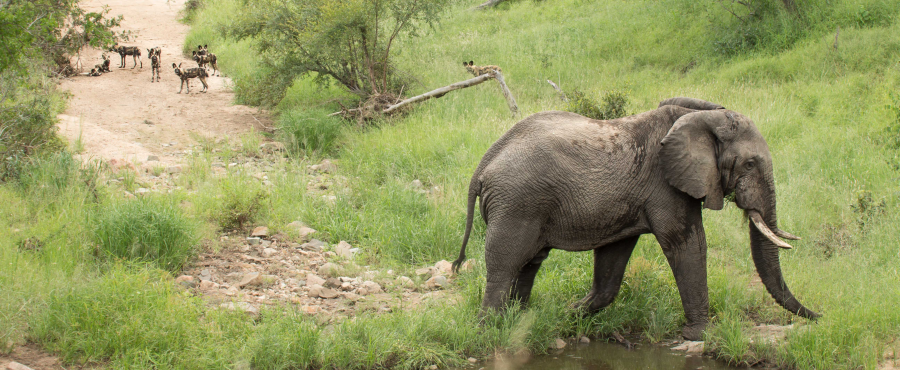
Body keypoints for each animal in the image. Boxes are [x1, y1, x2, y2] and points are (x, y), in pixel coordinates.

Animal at [454, 97, 820, 340]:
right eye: (750, 164)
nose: (820, 316)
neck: (702, 116)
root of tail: (483, 164)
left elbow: (614, 259)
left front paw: (569, 313)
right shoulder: (667, 185)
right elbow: (686, 243)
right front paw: (699, 335)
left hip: (526, 204)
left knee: (530, 263)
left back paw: (520, 319)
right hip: (517, 204)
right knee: (505, 265)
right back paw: (490, 330)